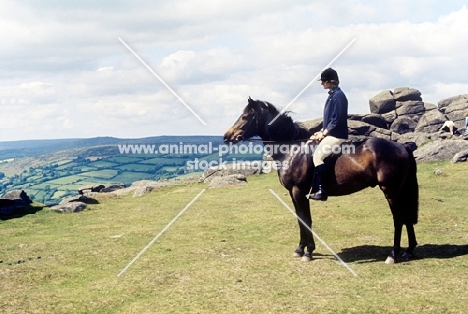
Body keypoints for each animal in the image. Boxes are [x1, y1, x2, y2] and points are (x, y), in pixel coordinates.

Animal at [224, 97, 420, 262]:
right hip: (400, 190)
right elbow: (301, 218)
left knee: (398, 218)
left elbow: (305, 219)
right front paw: (300, 249)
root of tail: (401, 145)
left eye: (245, 116)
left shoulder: (298, 191)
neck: (292, 150)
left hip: (391, 190)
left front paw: (308, 252)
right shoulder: (294, 193)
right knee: (406, 216)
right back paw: (409, 251)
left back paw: (393, 254)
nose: (226, 137)